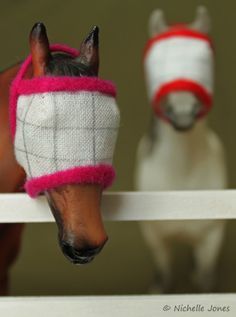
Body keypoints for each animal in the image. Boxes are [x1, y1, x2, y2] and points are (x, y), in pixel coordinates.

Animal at [136, 5, 228, 292]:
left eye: (204, 59)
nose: (183, 114)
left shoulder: (210, 239)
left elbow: (205, 281)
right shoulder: (155, 238)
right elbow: (163, 275)